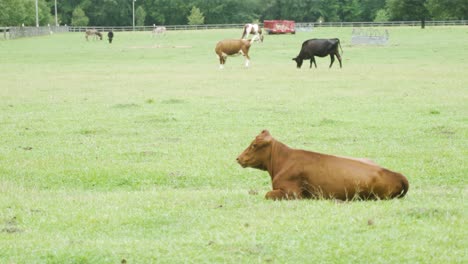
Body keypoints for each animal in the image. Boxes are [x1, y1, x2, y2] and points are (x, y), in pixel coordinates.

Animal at [236, 130, 408, 200]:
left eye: (254, 145)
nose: (238, 158)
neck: (283, 161)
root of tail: (397, 174)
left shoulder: (292, 193)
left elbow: (268, 194)